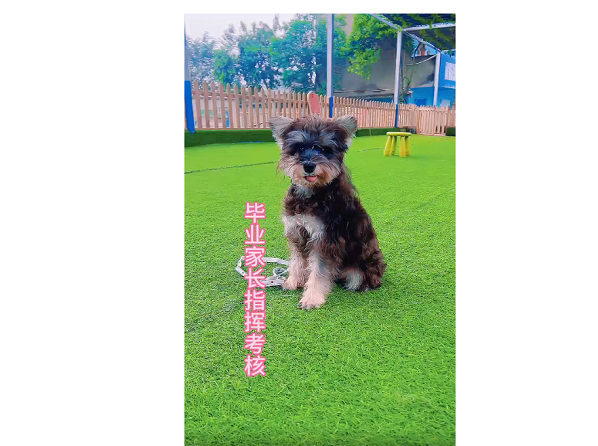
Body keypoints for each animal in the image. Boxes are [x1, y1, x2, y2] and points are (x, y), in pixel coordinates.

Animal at [269, 115, 386, 309]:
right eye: (300, 148)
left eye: (325, 149)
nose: (309, 166)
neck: (311, 195)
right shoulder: (297, 232)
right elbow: (297, 261)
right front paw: (293, 281)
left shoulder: (325, 239)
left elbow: (319, 271)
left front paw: (312, 298)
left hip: (360, 270)